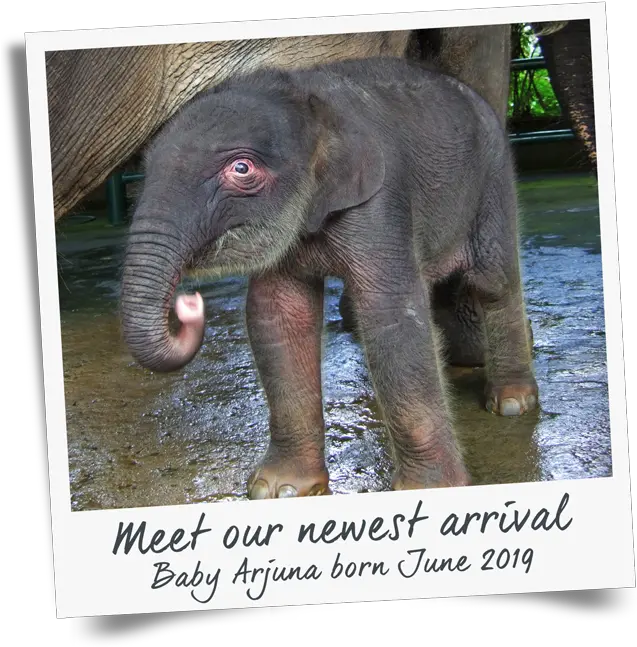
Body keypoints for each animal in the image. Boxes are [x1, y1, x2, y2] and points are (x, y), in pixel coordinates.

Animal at [119, 55, 536, 502]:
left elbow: (391, 315)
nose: (189, 303)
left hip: (494, 178)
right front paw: (280, 489)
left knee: (493, 282)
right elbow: (278, 315)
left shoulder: (380, 201)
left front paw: (429, 489)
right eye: (144, 170)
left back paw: (512, 402)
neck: (308, 100)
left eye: (241, 168)